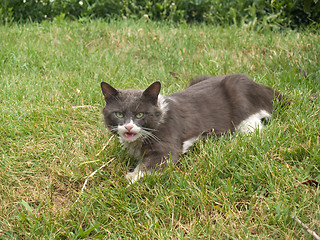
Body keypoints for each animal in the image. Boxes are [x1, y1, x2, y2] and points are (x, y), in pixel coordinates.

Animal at [101, 73, 284, 184]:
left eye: (140, 114)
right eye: (118, 114)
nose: (128, 126)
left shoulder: (167, 142)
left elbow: (156, 163)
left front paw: (131, 178)